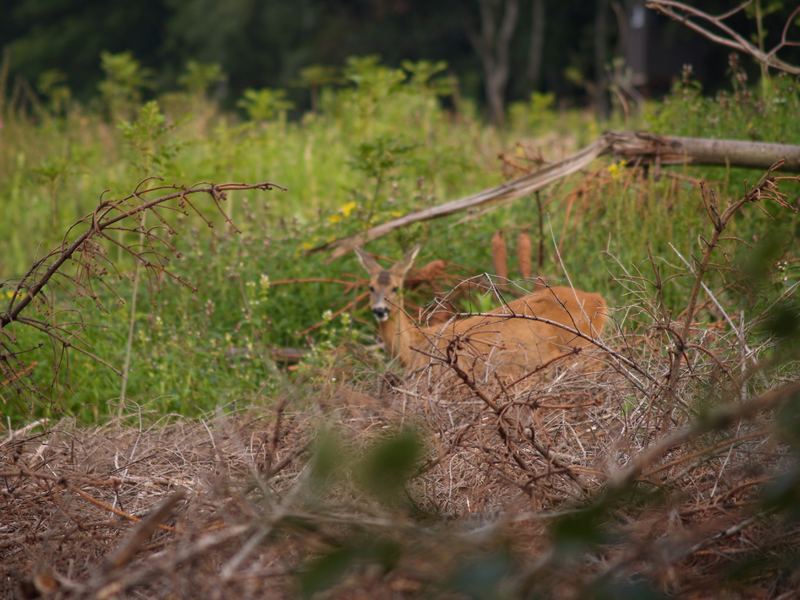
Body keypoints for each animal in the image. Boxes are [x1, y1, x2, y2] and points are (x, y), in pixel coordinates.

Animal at [356, 246, 608, 382]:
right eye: (370, 287)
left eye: (394, 288)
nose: (380, 310)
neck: (413, 345)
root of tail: (598, 299)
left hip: (581, 349)